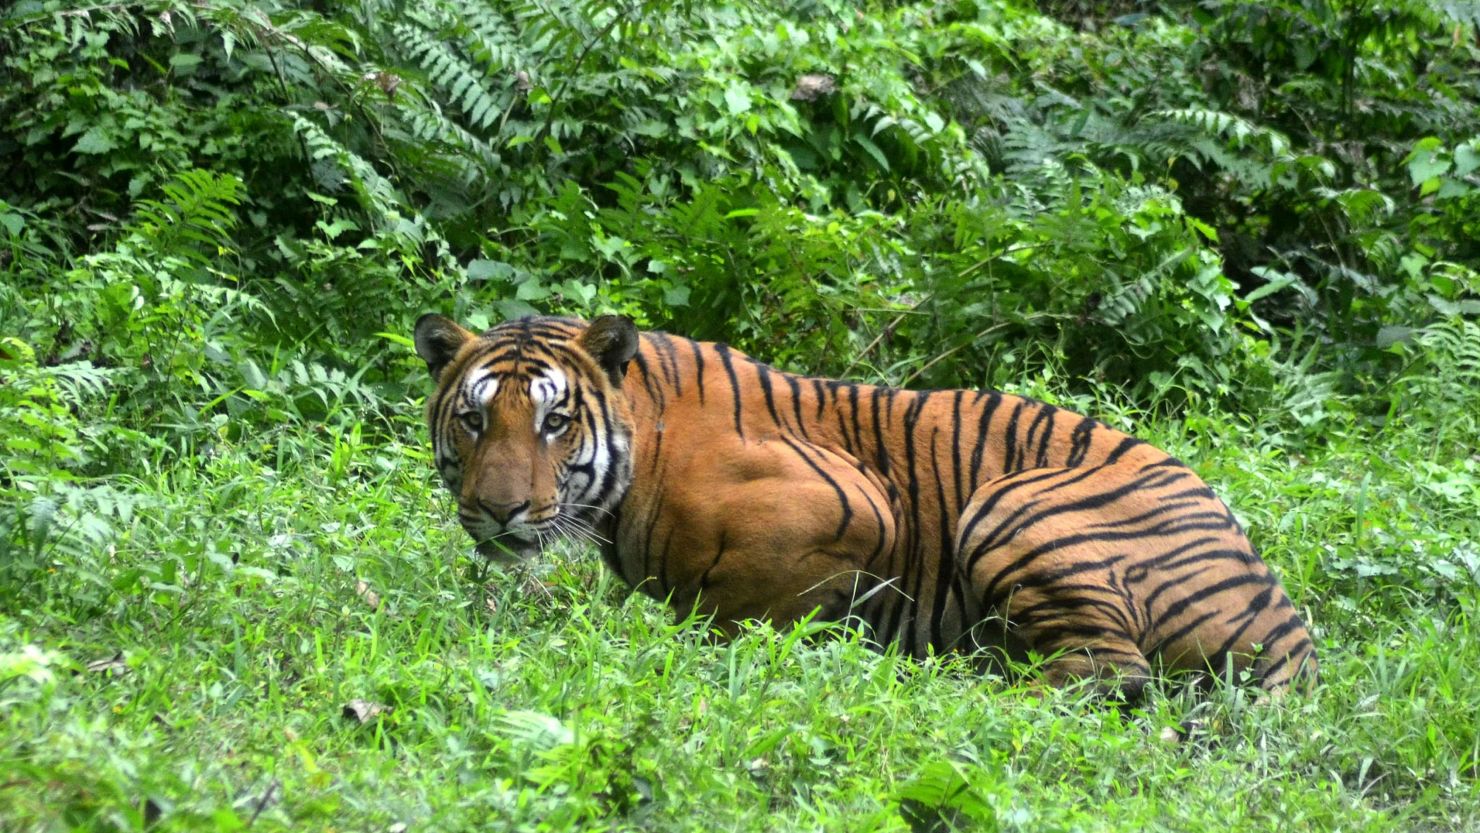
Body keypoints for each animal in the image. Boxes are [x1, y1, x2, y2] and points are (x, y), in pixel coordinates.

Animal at [414, 313, 1320, 698]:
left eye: (555, 421)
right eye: (474, 418)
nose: (499, 510)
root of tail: (1287, 623)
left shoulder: (853, 504)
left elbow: (740, 609)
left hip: (1011, 503)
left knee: (1108, 675)